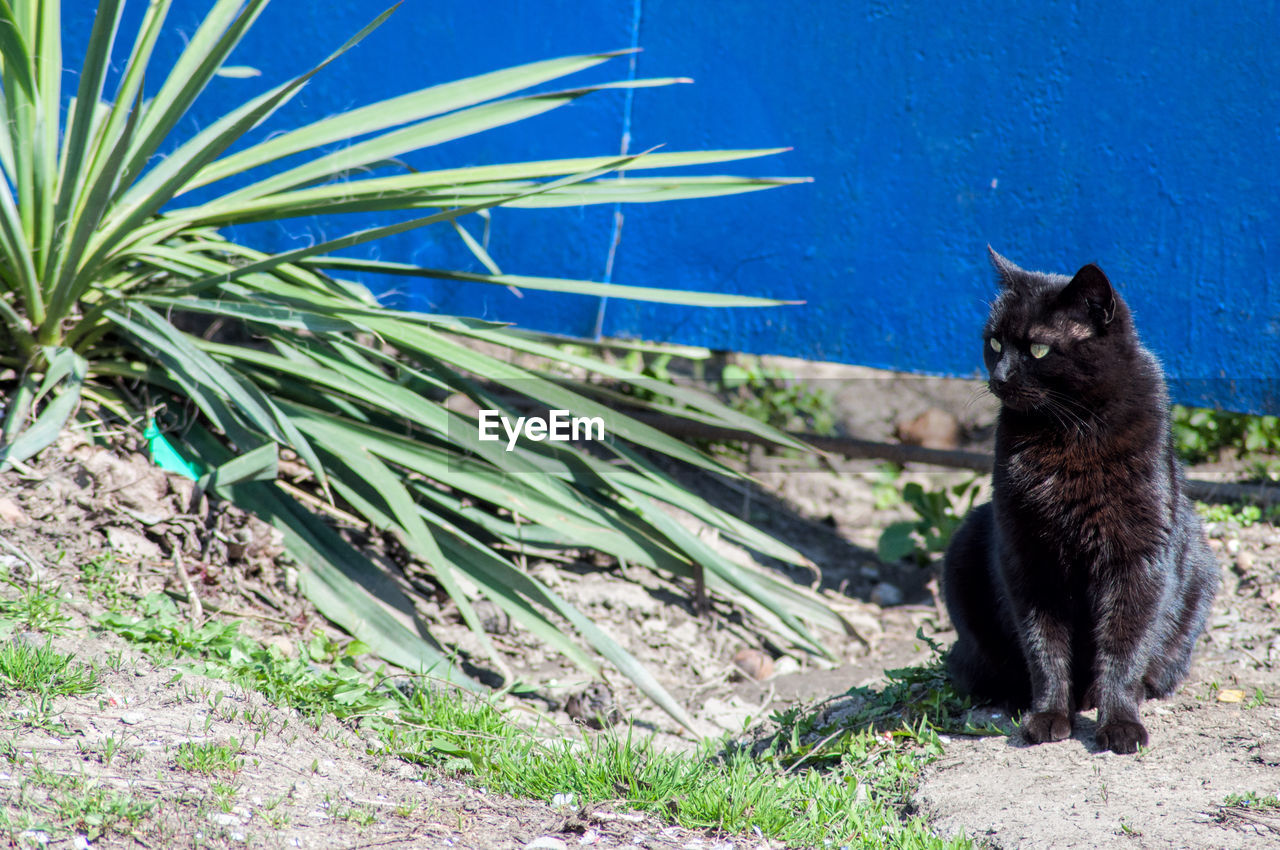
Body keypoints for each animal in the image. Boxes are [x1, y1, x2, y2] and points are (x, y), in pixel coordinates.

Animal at [947, 249, 1213, 752]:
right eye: (994, 342)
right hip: (965, 543)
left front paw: (1120, 722)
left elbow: (1124, 645)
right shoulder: (1026, 555)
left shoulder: (1137, 557)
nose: (999, 377)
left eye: (1038, 349)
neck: (1068, 431)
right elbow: (1044, 645)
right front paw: (1049, 715)